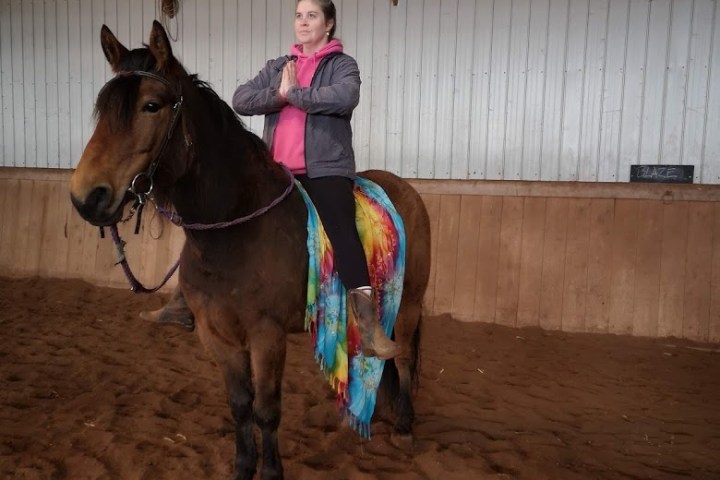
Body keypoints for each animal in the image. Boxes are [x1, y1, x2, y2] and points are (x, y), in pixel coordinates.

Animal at [69, 20, 430, 480]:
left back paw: (404, 427)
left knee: (403, 360)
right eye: (102, 108)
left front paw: (271, 471)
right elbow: (241, 408)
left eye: (151, 106)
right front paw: (244, 467)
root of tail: (403, 189)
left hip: (409, 305)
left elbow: (267, 410)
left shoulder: (267, 337)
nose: (87, 197)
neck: (235, 231)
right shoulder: (219, 337)